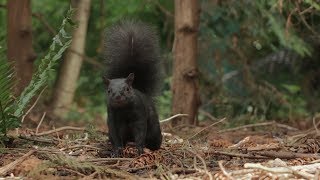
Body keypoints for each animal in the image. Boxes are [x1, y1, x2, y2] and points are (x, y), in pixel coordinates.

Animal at [102, 20, 162, 157]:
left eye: (127, 89)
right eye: (109, 91)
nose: (118, 96)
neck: (123, 109)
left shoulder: (139, 116)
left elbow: (140, 134)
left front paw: (139, 150)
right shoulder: (112, 119)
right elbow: (115, 137)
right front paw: (117, 151)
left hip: (154, 131)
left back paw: (152, 148)